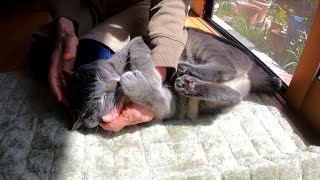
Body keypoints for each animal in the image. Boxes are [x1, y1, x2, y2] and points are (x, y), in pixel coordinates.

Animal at [67, 28, 280, 129]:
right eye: (100, 100)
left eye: (98, 80)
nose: (114, 84)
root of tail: (250, 63)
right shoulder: (166, 104)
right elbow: (153, 97)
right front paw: (140, 83)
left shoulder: (138, 42)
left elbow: (140, 57)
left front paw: (148, 77)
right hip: (221, 95)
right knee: (232, 94)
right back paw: (188, 84)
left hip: (203, 46)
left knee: (226, 68)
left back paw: (186, 70)